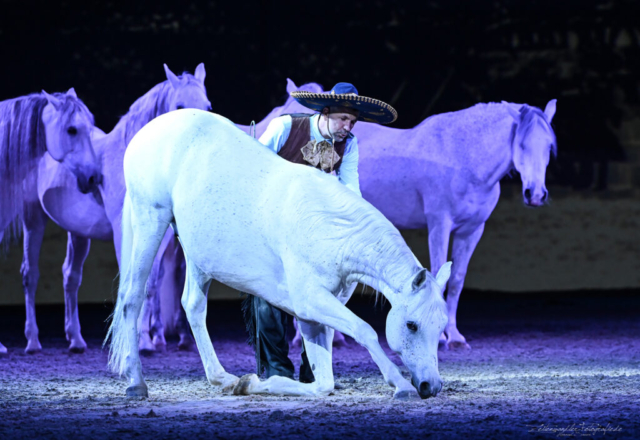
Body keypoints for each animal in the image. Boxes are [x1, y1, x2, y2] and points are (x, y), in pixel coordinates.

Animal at [17, 64, 211, 354]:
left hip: (78, 233)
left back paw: (76, 339)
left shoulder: (162, 234)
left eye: (208, 106)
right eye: (179, 106)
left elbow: (150, 282)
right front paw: (137, 341)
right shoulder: (125, 234)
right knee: (30, 275)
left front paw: (147, 339)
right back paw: (32, 341)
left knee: (70, 277)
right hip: (33, 220)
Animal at [107, 108, 452, 400]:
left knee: (192, 305)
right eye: (412, 325)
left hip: (197, 255)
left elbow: (323, 381)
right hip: (150, 221)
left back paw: (223, 378)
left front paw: (253, 383)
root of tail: (147, 131)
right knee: (132, 298)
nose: (430, 386)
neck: (329, 228)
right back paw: (136, 382)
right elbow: (364, 330)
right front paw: (400, 384)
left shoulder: (315, 313)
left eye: (441, 325)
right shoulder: (311, 300)